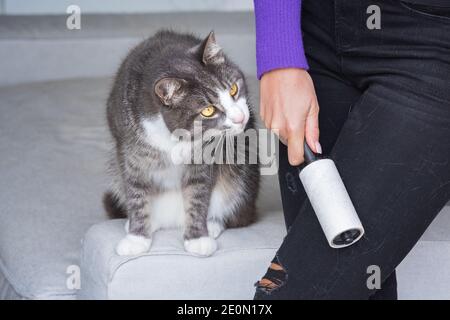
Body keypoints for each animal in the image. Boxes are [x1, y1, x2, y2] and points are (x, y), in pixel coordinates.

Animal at [104, 30, 260, 258]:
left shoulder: (204, 160)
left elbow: (198, 195)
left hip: (242, 173)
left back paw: (213, 224)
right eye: (208, 111)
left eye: (233, 89)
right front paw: (136, 238)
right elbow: (136, 193)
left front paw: (198, 238)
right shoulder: (132, 155)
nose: (240, 118)